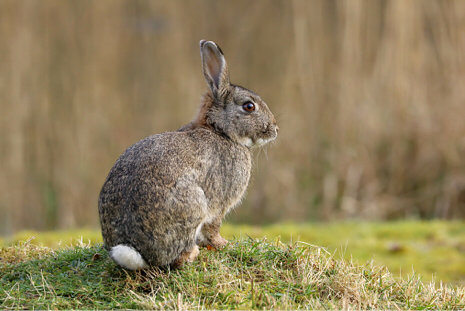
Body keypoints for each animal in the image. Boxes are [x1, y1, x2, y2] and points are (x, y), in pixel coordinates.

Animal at [97, 40, 278, 270]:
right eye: (249, 106)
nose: (275, 129)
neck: (221, 130)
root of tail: (135, 250)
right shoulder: (219, 203)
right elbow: (213, 228)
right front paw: (223, 244)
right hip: (194, 205)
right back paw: (192, 253)